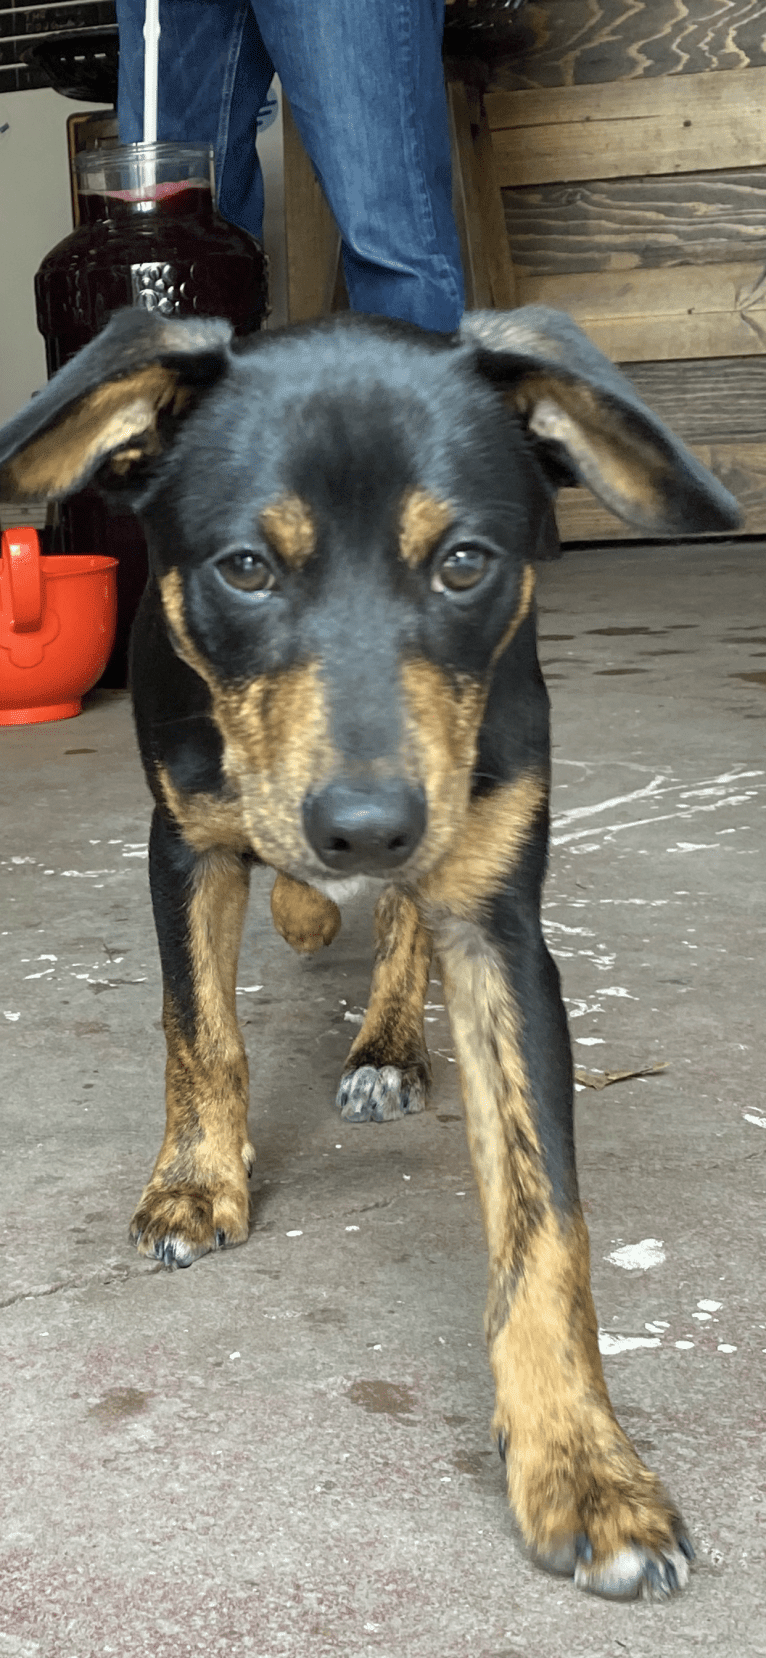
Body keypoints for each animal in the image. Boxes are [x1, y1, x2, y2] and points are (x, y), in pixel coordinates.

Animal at [0, 308, 742, 1591]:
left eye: (464, 562)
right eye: (246, 567)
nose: (365, 826)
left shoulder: (497, 919)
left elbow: (545, 1219)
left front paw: (582, 1462)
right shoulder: (183, 839)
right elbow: (199, 1028)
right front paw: (198, 1179)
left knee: (400, 925)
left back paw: (384, 1028)